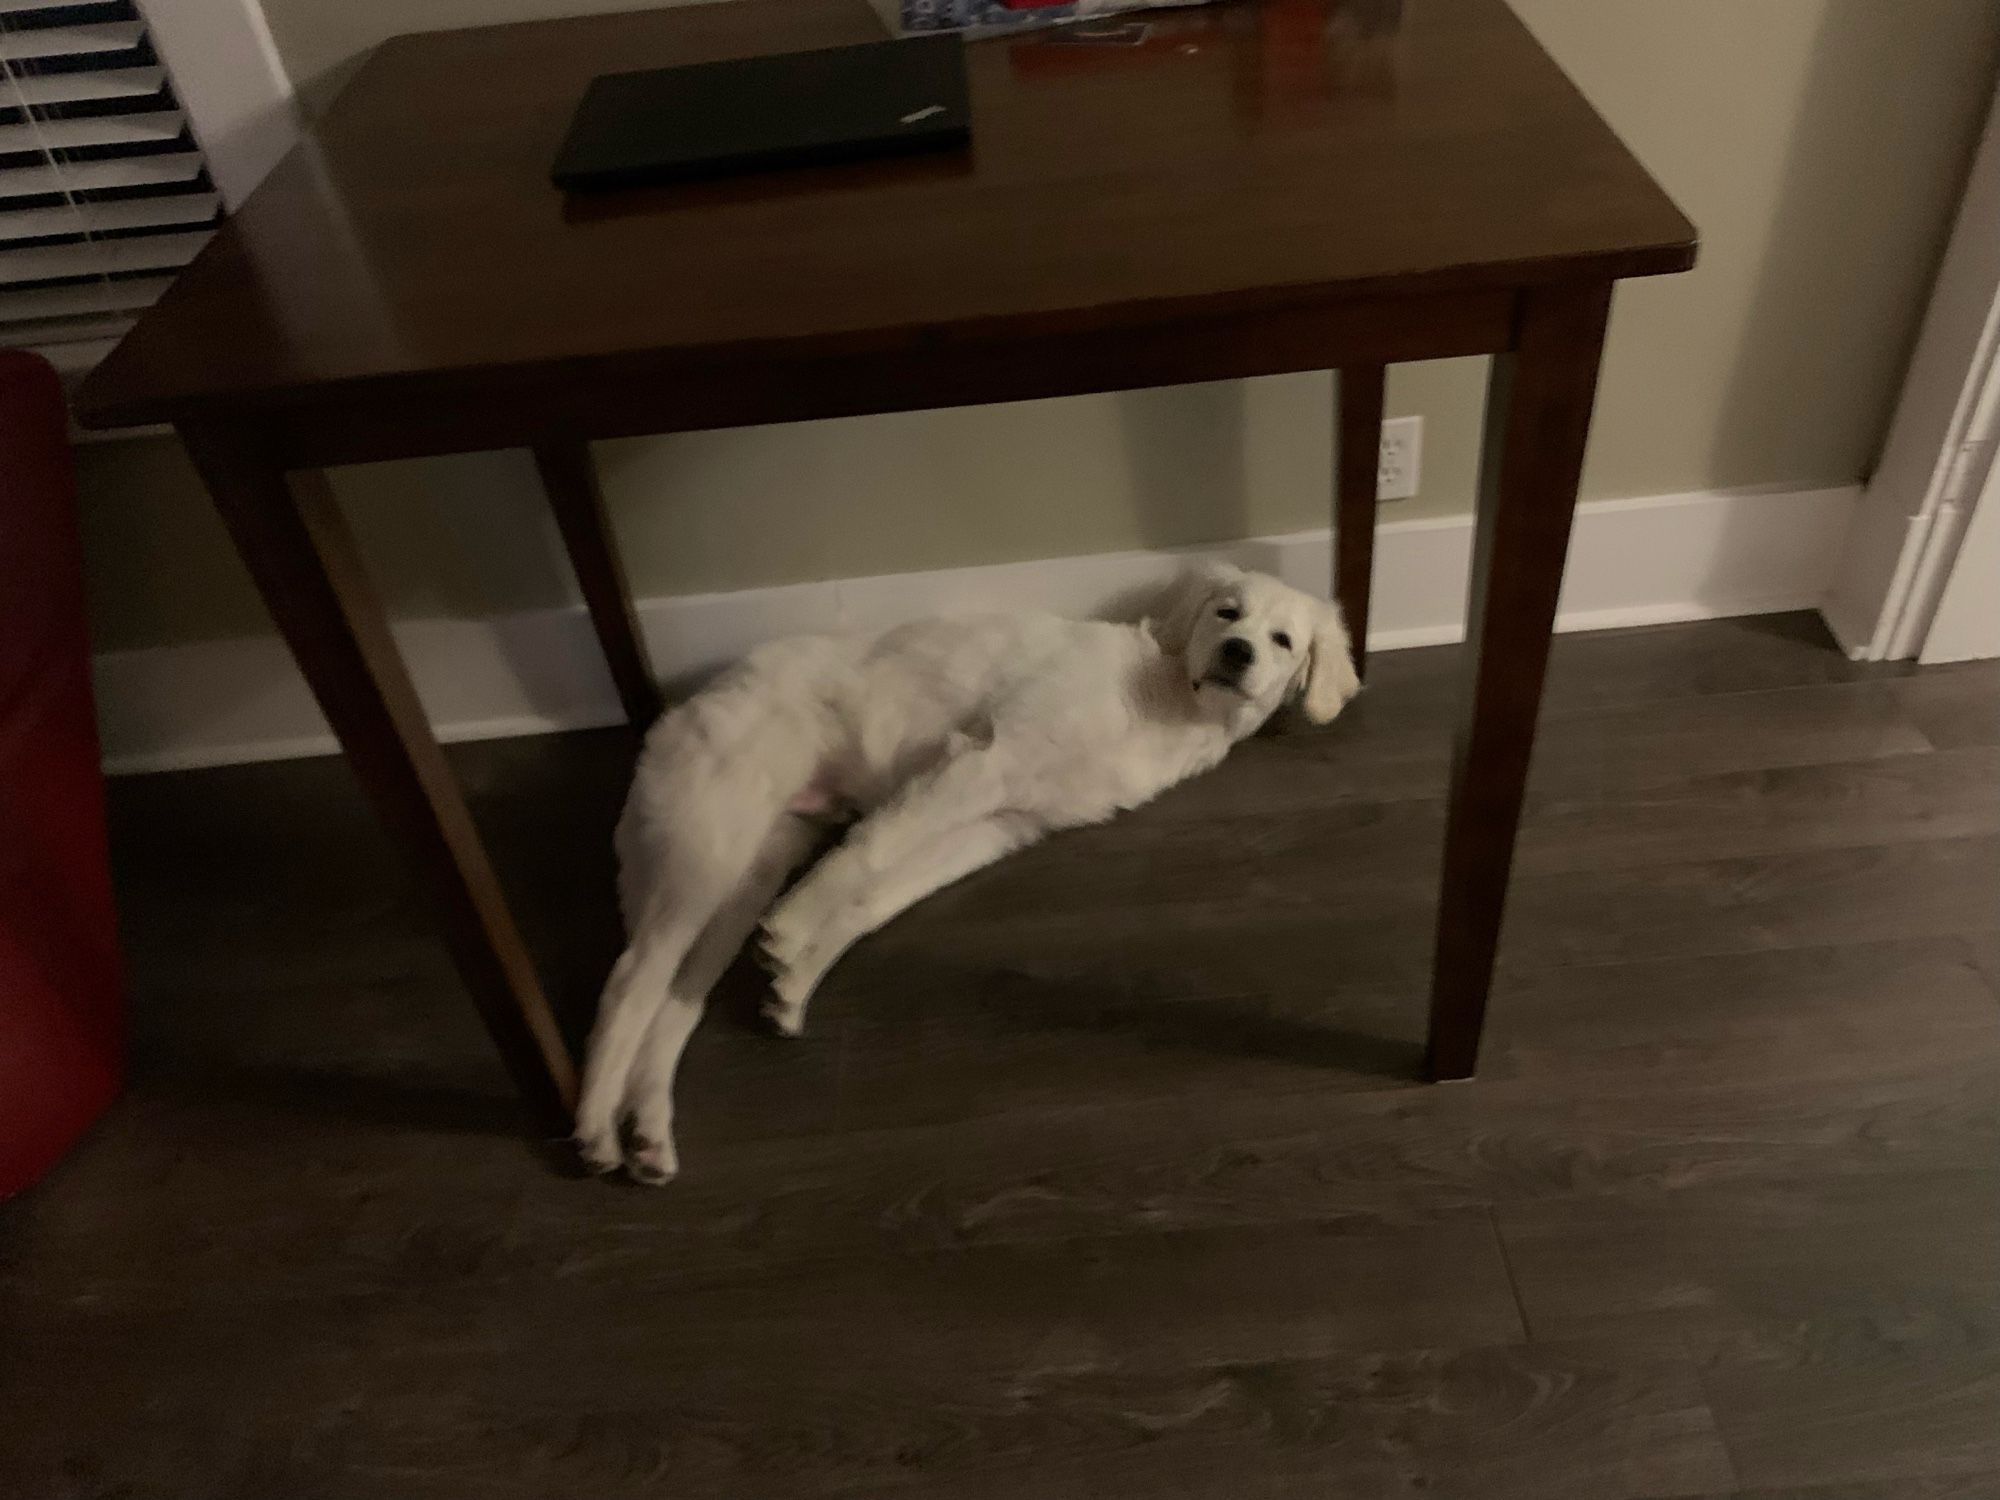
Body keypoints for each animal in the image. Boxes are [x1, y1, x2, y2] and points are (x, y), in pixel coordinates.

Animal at [580, 560, 1360, 1184]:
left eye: (1283, 641)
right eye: (1227, 613)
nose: (1237, 652)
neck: (1162, 700)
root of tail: (681, 709)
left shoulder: (999, 825)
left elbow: (871, 898)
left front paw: (795, 978)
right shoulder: (986, 757)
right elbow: (870, 851)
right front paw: (795, 931)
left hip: (748, 870)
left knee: (676, 1002)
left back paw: (647, 1136)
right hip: (707, 852)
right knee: (629, 980)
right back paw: (593, 1128)